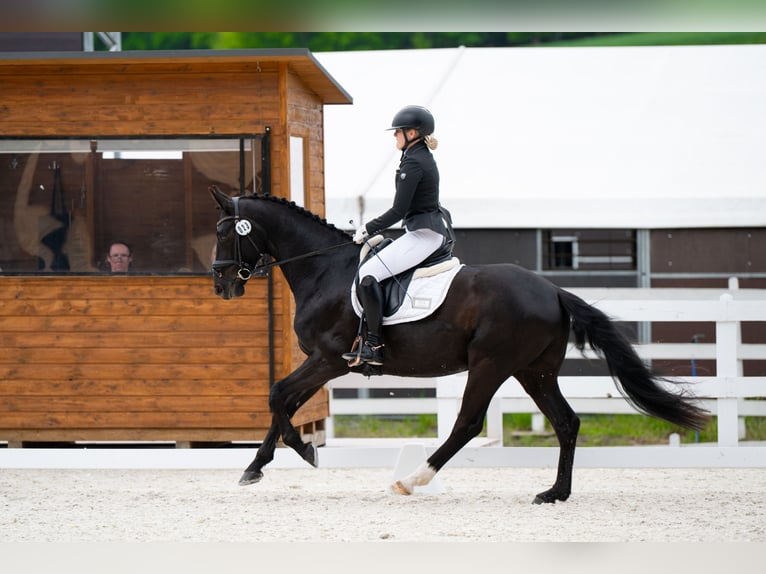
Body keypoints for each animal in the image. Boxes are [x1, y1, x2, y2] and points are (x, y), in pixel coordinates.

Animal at [209, 186, 709, 504]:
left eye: (222, 232)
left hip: (491, 364)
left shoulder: (331, 359)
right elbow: (283, 401)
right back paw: (555, 493)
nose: (221, 287)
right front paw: (255, 467)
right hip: (534, 370)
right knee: (566, 422)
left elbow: (279, 396)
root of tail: (552, 290)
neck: (324, 270)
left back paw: (412, 481)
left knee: (468, 423)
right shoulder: (325, 362)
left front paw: (304, 452)